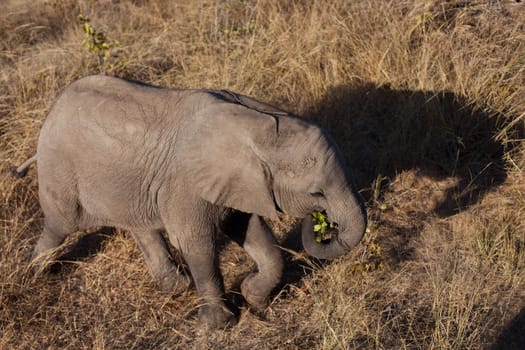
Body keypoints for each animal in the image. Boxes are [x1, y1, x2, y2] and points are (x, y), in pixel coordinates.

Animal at [16, 75, 364, 330]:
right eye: (316, 193)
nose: (322, 222)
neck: (258, 124)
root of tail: (52, 111)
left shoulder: (238, 184)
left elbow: (251, 231)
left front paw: (253, 297)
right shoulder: (186, 185)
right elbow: (197, 242)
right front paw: (218, 326)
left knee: (138, 224)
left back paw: (176, 287)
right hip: (60, 167)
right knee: (60, 223)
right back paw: (35, 274)